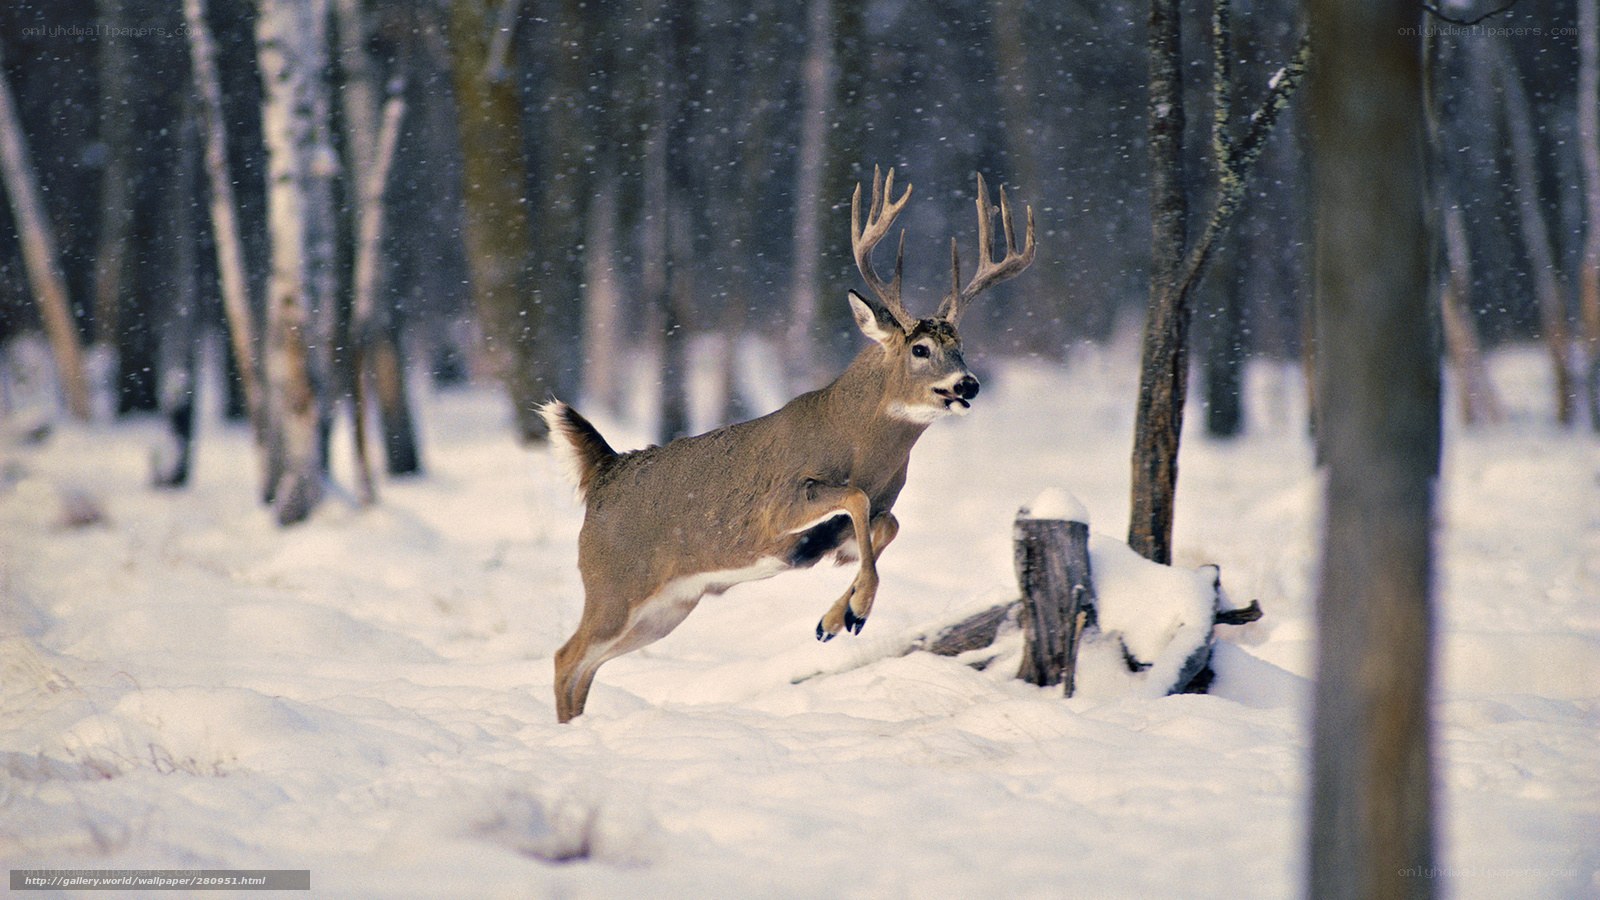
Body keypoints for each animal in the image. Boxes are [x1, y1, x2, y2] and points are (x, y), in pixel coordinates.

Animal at [541, 167, 1035, 722]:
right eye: (921, 348)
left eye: (962, 346)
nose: (968, 383)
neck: (859, 444)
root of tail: (605, 469)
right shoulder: (776, 511)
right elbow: (855, 499)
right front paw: (856, 610)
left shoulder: (863, 521)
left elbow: (886, 524)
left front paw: (835, 619)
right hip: (613, 584)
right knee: (565, 656)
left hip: (666, 607)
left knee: (586, 665)